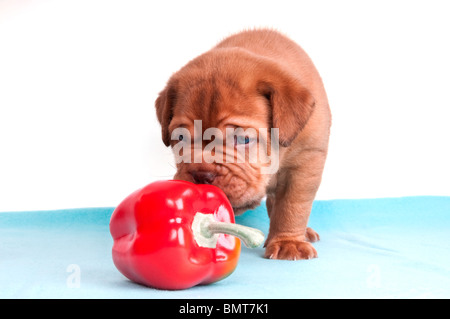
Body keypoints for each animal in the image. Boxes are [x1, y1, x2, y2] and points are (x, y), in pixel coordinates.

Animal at [156, 28, 330, 262]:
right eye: (181, 138)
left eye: (243, 140)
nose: (202, 176)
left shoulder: (305, 162)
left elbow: (292, 206)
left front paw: (288, 242)